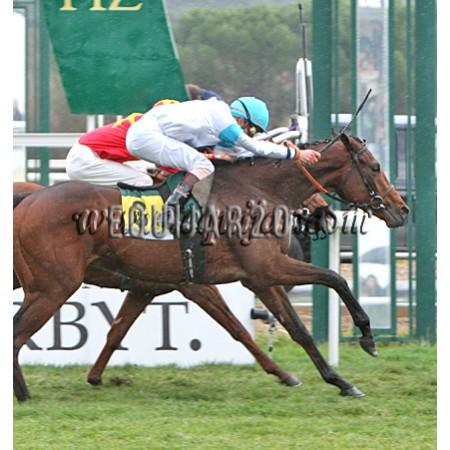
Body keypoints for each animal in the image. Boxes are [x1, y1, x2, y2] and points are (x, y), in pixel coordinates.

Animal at [13, 132, 409, 402]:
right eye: (375, 166)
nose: (401, 208)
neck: (257, 191)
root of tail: (27, 201)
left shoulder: (252, 278)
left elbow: (296, 329)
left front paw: (337, 381)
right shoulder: (263, 269)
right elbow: (334, 278)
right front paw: (367, 337)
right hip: (53, 287)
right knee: (16, 334)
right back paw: (24, 396)